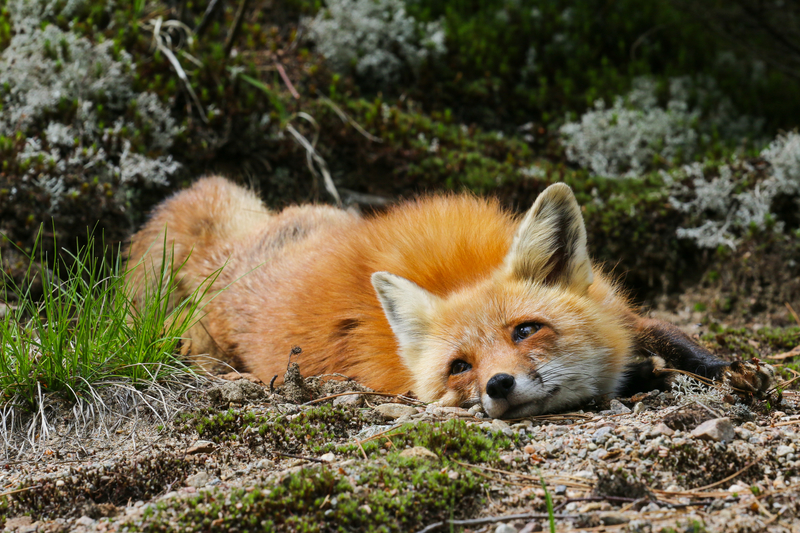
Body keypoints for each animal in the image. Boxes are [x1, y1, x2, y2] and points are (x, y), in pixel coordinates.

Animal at [126, 177, 776, 418]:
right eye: (460, 367)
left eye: (525, 330)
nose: (499, 386)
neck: (452, 274)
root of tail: (230, 257)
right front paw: (647, 373)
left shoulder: (623, 311)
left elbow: (663, 331)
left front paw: (725, 368)